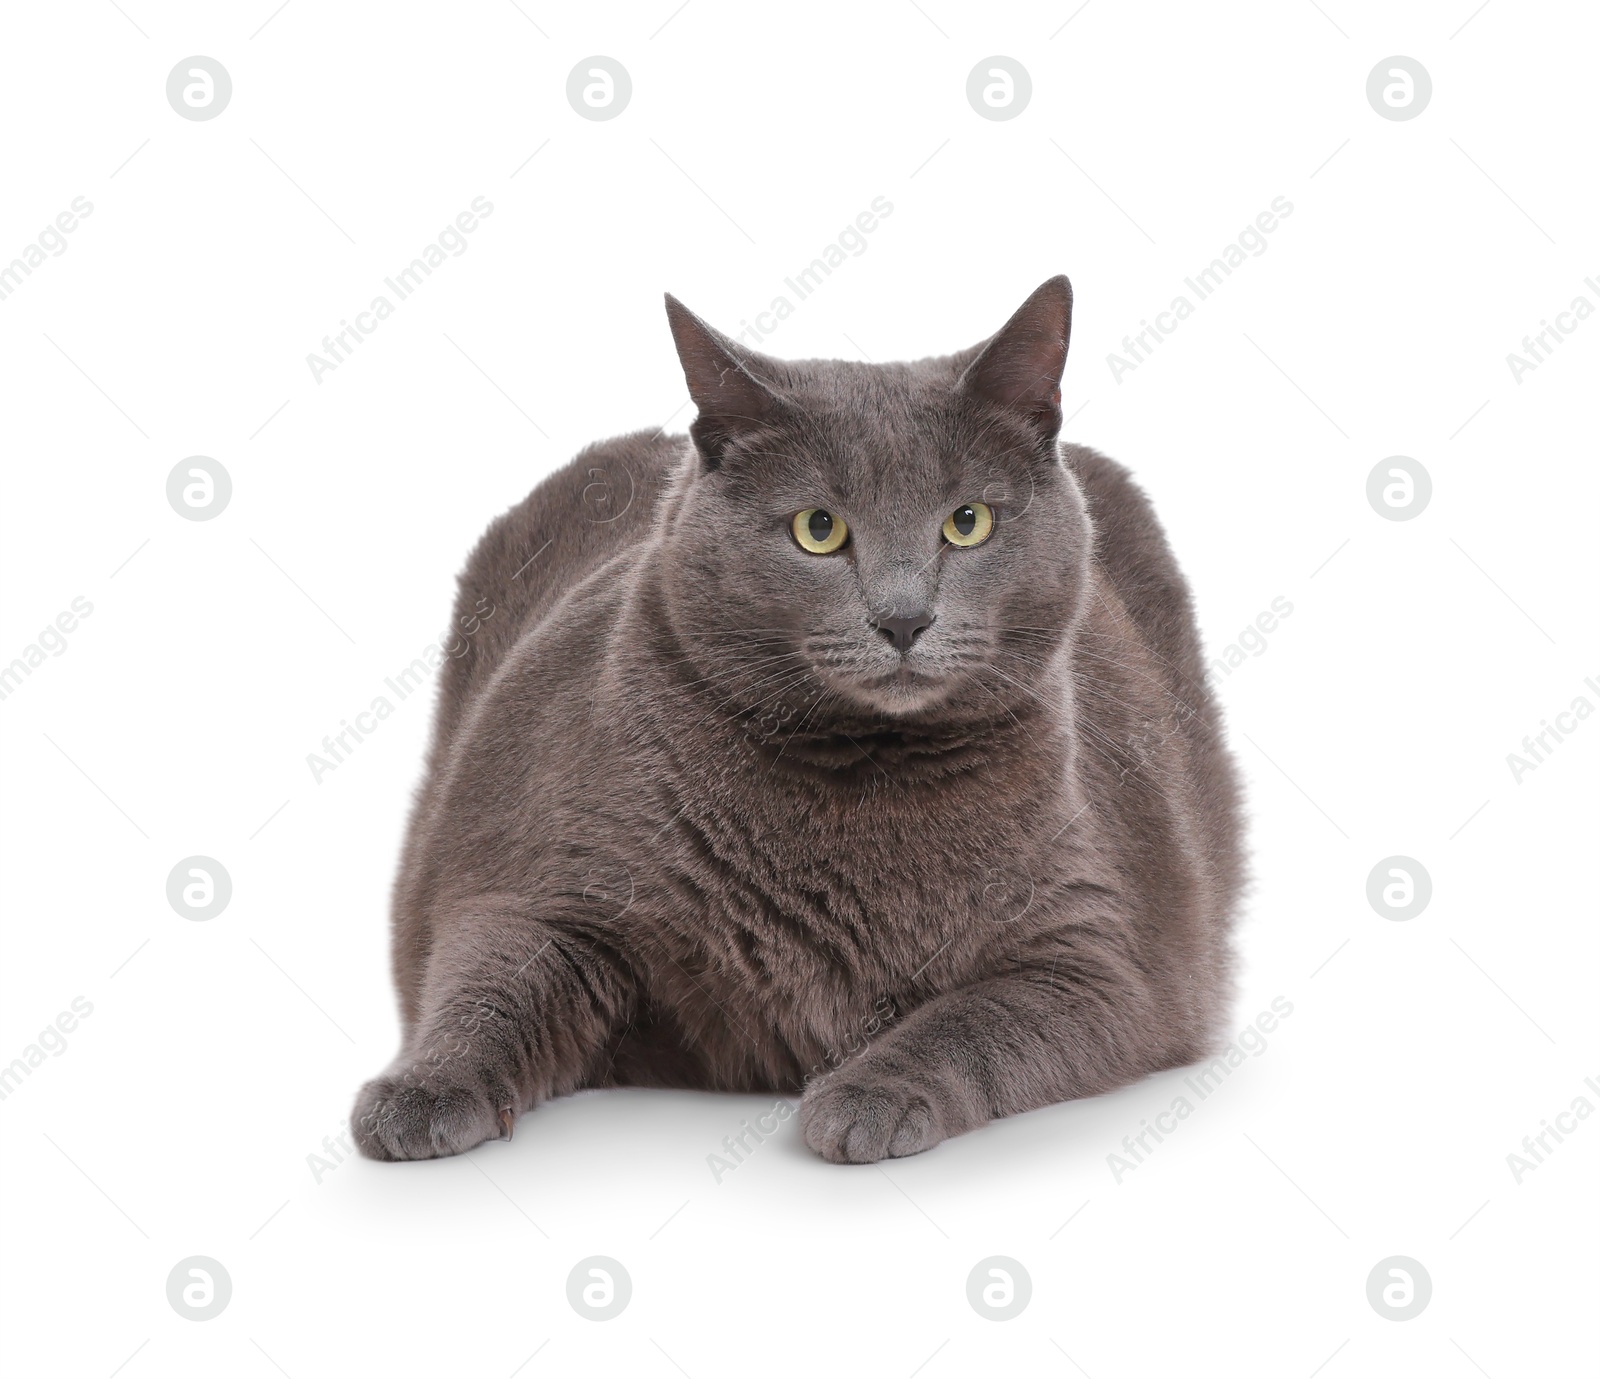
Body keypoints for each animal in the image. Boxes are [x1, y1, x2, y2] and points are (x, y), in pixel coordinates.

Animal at [356, 278, 1241, 1164]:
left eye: (968, 522)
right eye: (819, 529)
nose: (903, 618)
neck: (860, 780)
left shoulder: (1098, 955)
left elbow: (970, 1019)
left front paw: (869, 1093)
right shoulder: (538, 876)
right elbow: (493, 980)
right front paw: (421, 1088)